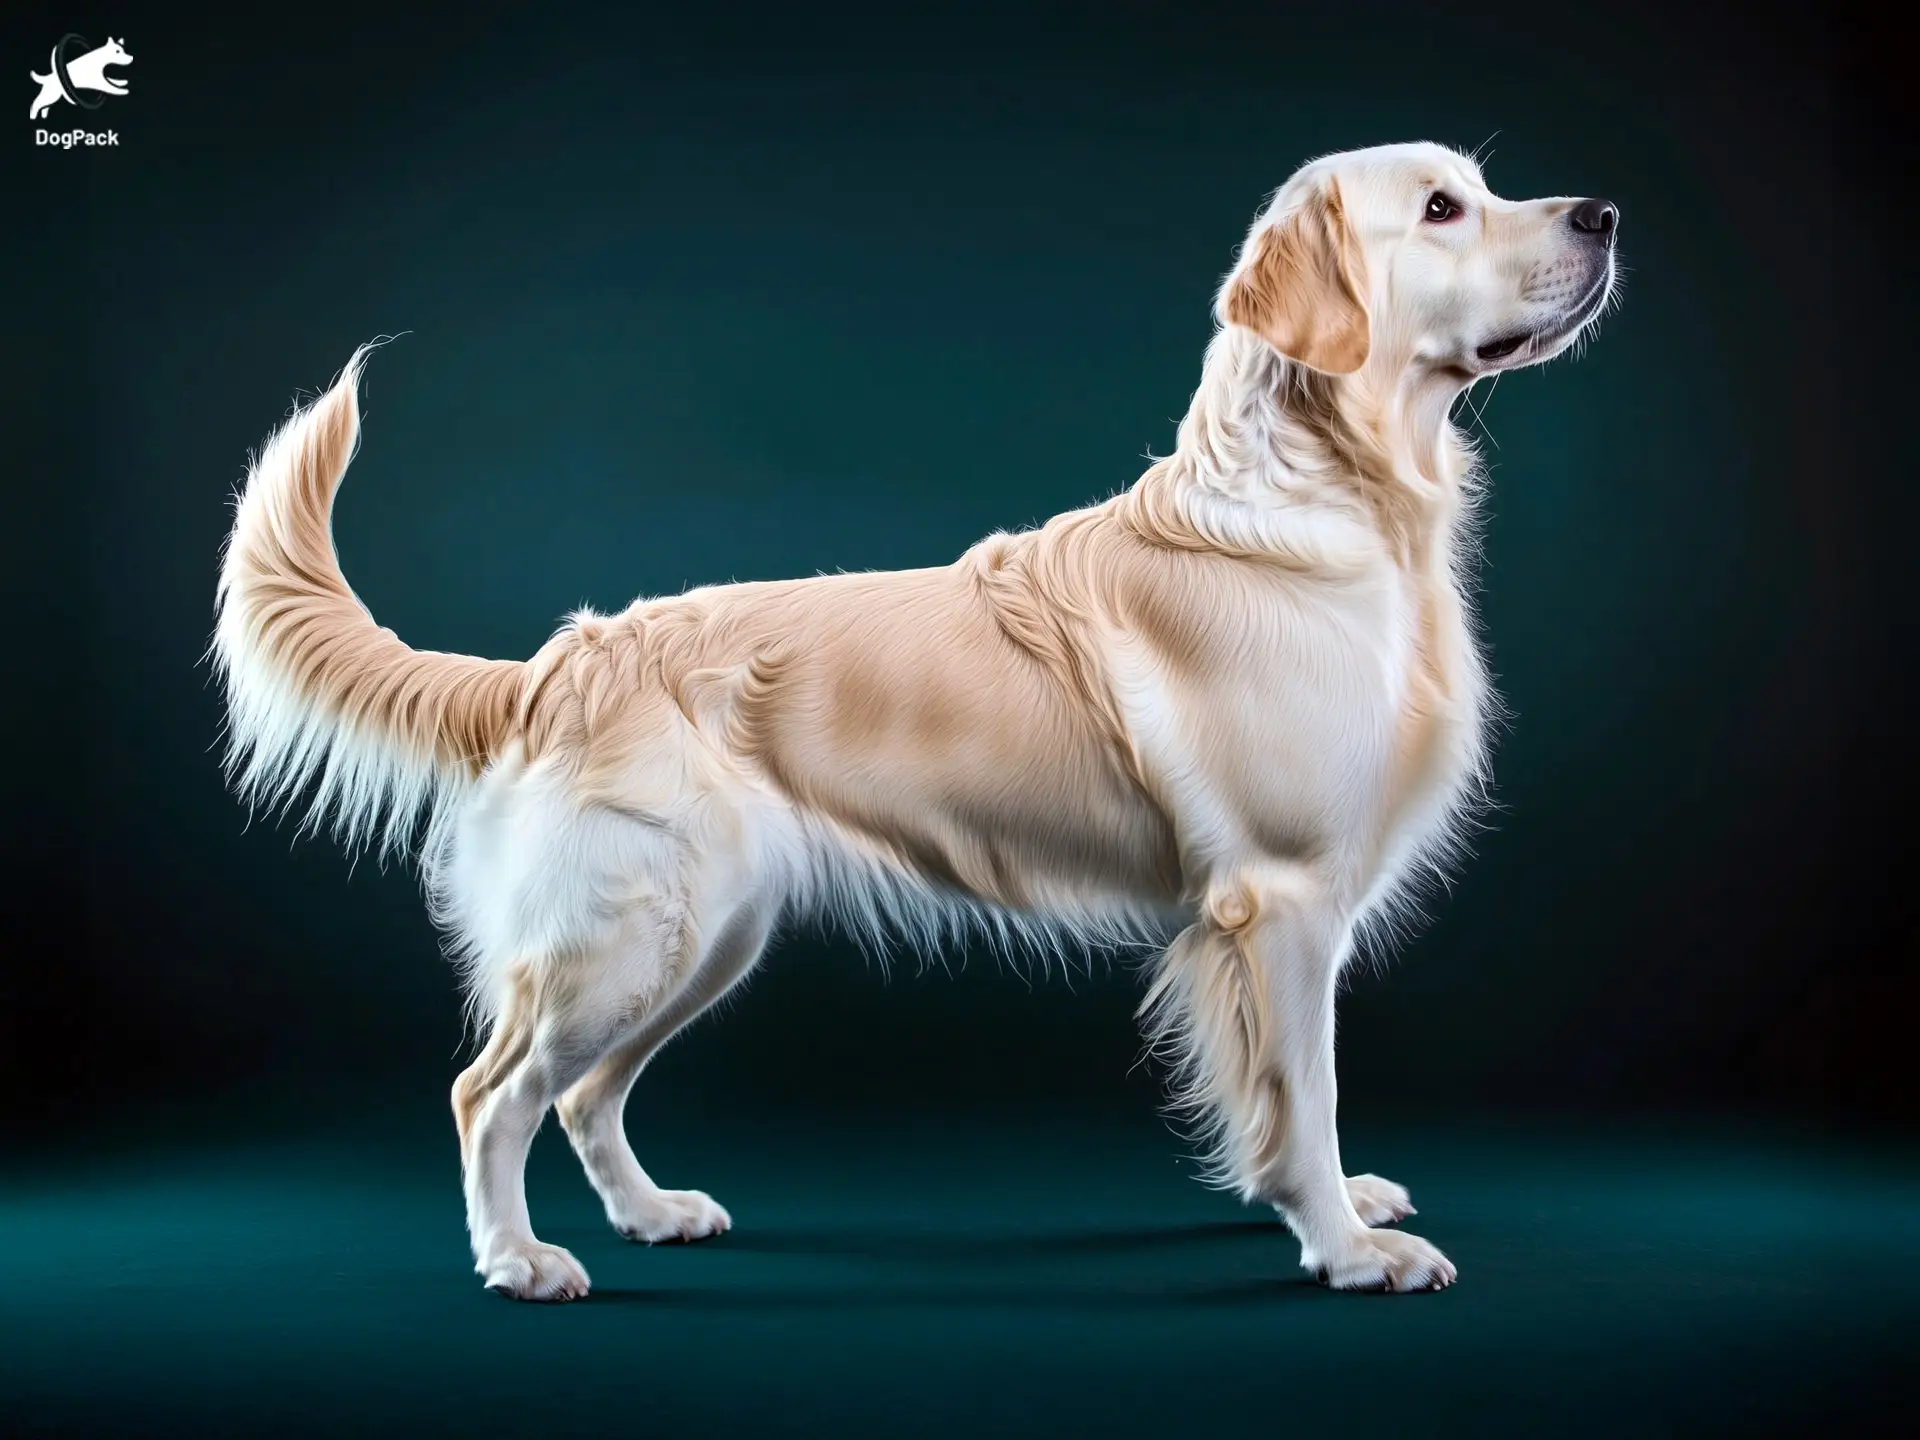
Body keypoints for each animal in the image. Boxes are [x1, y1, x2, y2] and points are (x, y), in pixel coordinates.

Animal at [210, 146, 1620, 1305]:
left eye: (1481, 185)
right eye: (1440, 209)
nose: (1603, 213)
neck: (1334, 500)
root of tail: (558, 662)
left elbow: (1283, 1105)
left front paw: (1337, 1208)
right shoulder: (1279, 901)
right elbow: (1304, 1092)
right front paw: (1349, 1246)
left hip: (705, 939)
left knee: (586, 1097)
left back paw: (652, 1214)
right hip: (626, 940)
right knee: (490, 1092)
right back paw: (519, 1260)